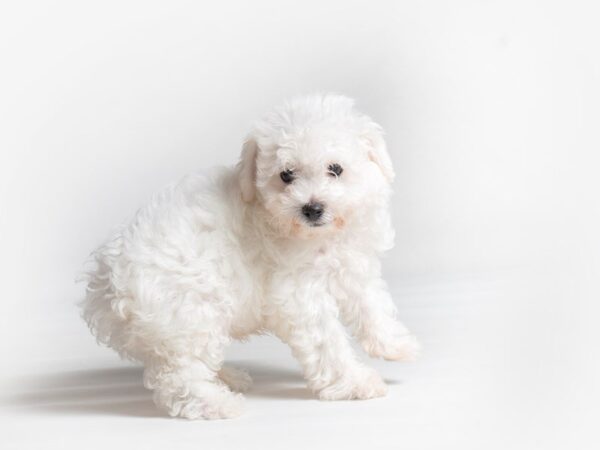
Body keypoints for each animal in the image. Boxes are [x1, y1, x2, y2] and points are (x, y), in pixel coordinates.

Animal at [82, 93, 420, 420]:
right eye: (286, 175)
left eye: (335, 169)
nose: (312, 208)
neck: (320, 236)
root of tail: (107, 282)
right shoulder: (299, 296)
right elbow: (328, 342)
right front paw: (355, 382)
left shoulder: (355, 267)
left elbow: (373, 307)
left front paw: (397, 344)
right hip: (190, 314)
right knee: (179, 376)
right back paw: (216, 403)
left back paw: (226, 378)